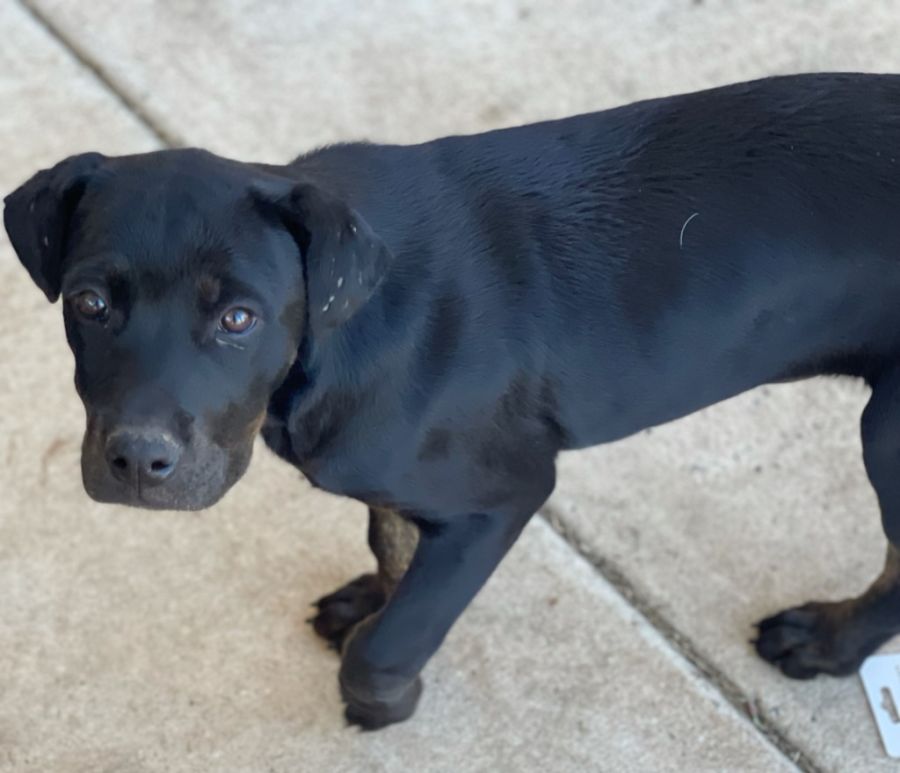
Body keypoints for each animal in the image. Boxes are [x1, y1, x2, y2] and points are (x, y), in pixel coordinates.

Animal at [7, 72, 900, 729]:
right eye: (89, 303)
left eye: (238, 318)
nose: (136, 459)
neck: (341, 329)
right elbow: (392, 539)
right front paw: (372, 593)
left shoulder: (502, 494)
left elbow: (394, 639)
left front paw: (384, 700)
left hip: (888, 432)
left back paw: (828, 642)